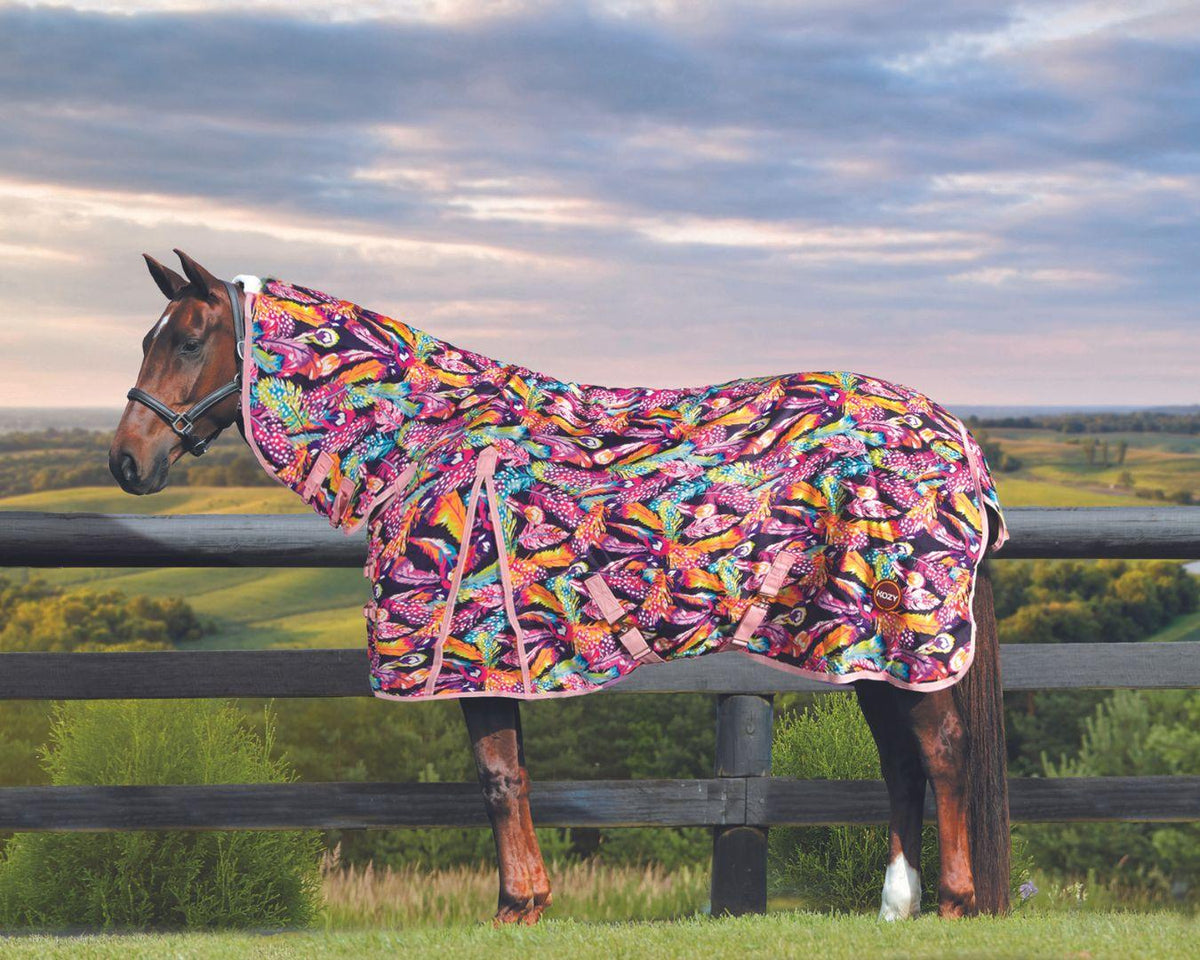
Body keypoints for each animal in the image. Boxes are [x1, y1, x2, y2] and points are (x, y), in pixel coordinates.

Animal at [110, 249, 1010, 923]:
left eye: (187, 340)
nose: (126, 459)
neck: (426, 439)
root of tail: (955, 432)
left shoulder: (476, 656)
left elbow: (498, 776)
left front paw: (516, 905)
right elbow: (508, 774)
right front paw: (529, 899)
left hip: (902, 630)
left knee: (941, 748)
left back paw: (955, 901)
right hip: (860, 644)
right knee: (900, 759)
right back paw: (897, 903)